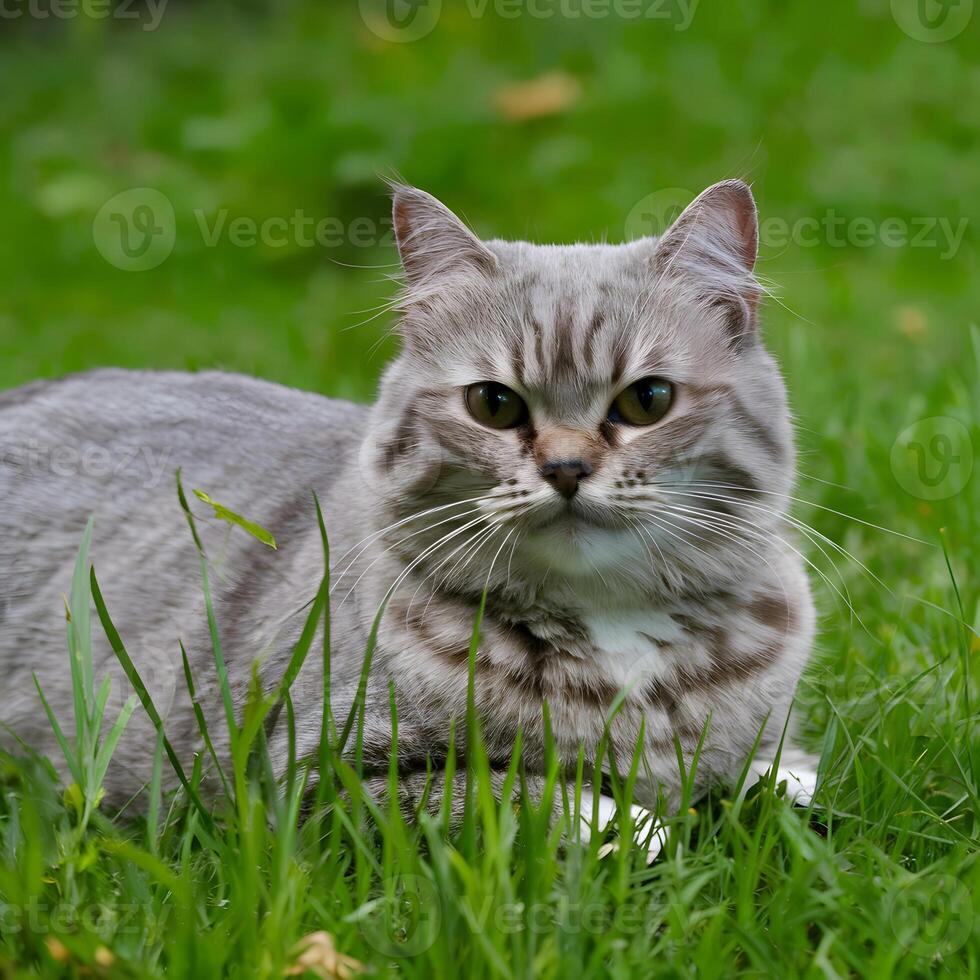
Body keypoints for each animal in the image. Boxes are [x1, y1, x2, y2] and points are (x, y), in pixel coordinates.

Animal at [0, 180, 820, 852]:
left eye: (647, 400)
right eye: (494, 404)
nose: (565, 469)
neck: (613, 629)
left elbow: (771, 773)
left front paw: (784, 789)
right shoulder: (310, 780)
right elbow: (521, 792)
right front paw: (647, 830)